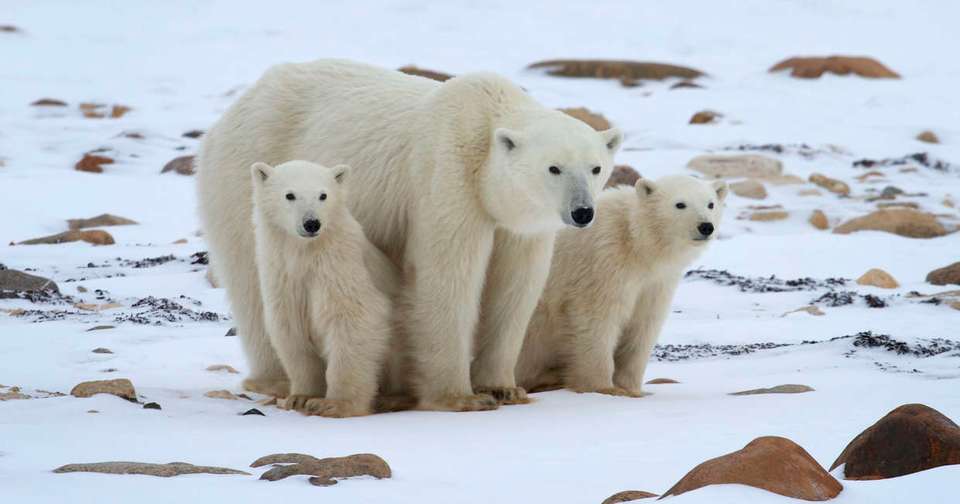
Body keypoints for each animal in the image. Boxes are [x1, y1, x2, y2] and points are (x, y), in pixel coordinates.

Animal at [250, 159, 394, 417]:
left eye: (323, 195)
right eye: (290, 195)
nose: (311, 223)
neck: (305, 253)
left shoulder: (339, 268)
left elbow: (353, 320)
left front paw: (334, 404)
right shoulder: (282, 278)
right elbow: (290, 330)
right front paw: (301, 397)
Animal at [515, 175, 727, 396]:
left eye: (711, 204)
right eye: (680, 204)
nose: (705, 226)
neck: (635, 242)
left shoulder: (655, 282)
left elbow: (643, 325)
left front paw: (632, 388)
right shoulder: (603, 261)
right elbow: (596, 318)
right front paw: (603, 387)